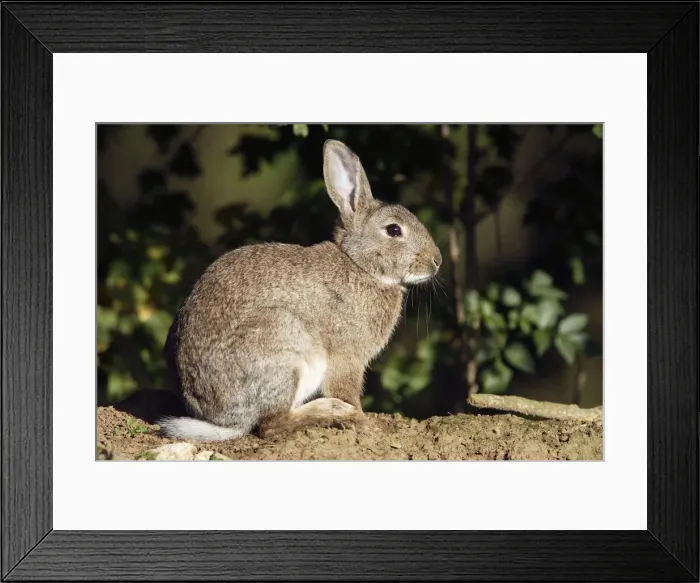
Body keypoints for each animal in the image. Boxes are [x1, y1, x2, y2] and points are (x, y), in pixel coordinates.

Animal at [158, 139, 442, 441]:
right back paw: (330, 411)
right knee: (272, 425)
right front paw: (363, 422)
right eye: (393, 230)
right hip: (285, 348)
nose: (437, 260)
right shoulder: (347, 357)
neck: (359, 266)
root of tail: (223, 420)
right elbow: (347, 390)